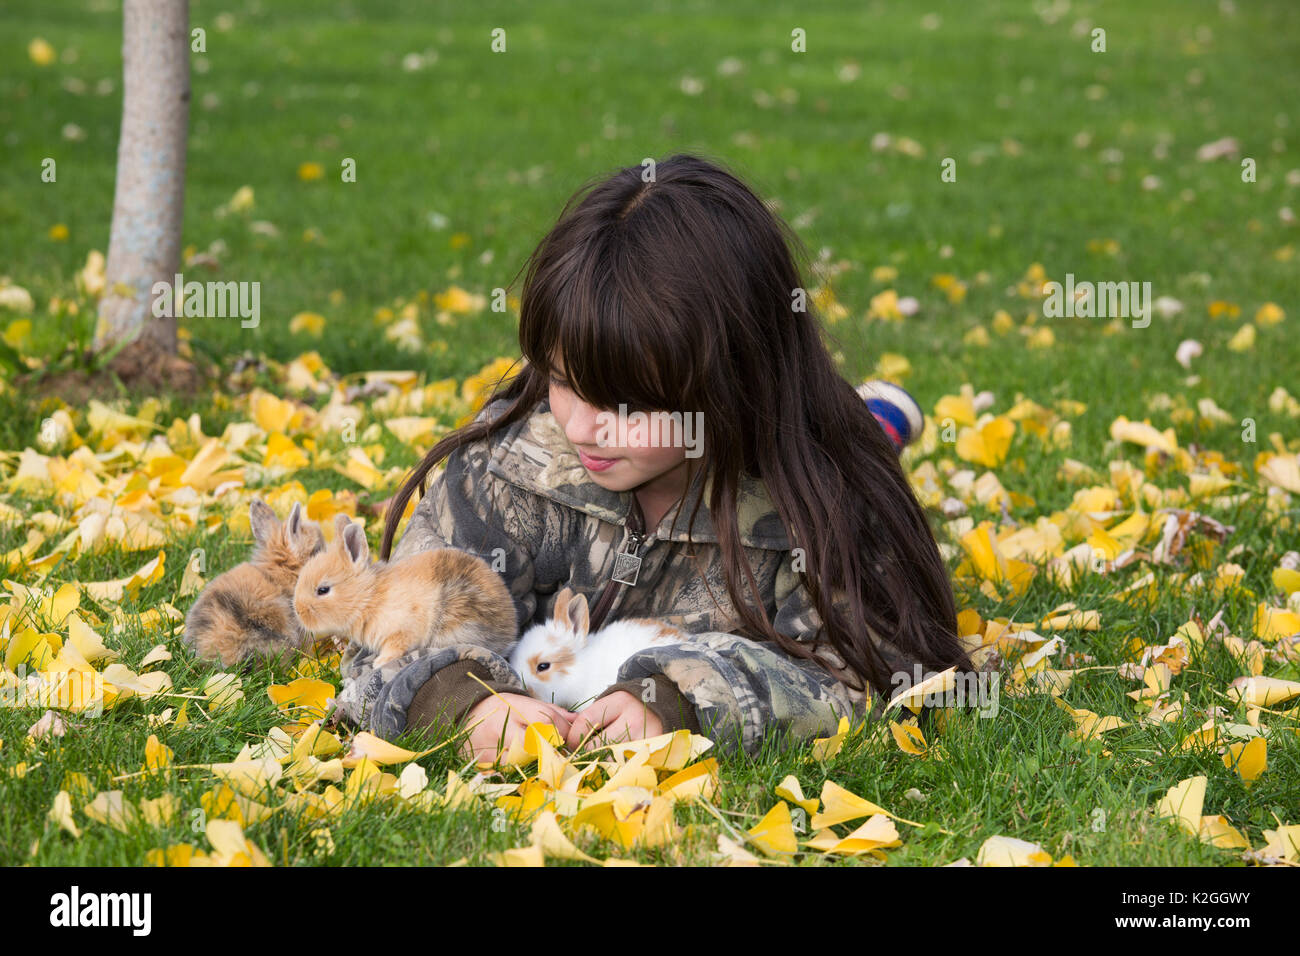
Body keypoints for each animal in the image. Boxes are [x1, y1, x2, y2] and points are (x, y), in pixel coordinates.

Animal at [295, 515, 517, 665]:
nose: (298, 611)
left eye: (323, 590)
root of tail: (510, 633)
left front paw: (380, 663)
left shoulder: (401, 632)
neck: (369, 598)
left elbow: (395, 648)